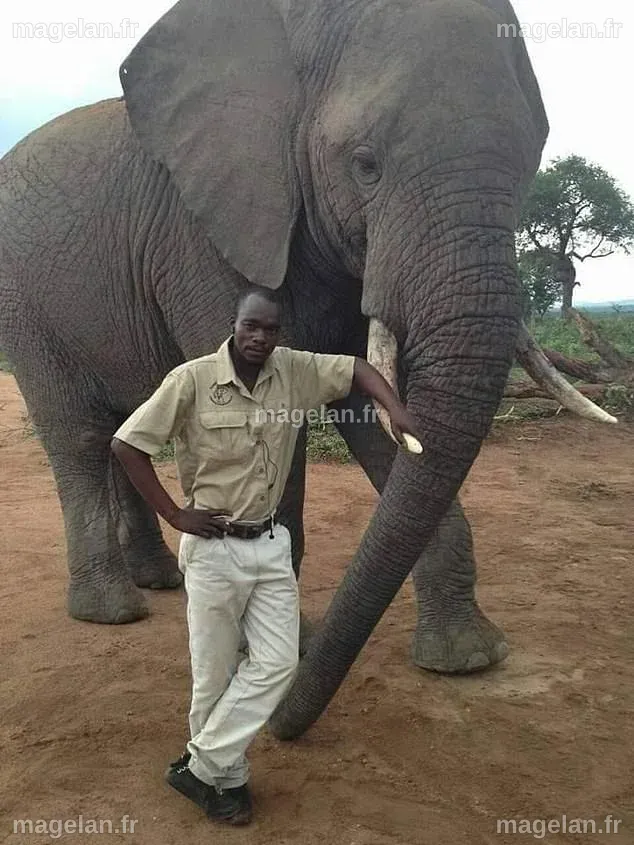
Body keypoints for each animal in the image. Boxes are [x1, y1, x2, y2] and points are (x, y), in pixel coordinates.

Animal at [0, 0, 615, 740]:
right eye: (365, 164)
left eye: (531, 164)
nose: (283, 730)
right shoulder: (204, 230)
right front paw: (276, 655)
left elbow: (374, 408)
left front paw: (467, 658)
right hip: (24, 303)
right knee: (79, 434)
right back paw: (113, 610)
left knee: (125, 425)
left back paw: (161, 583)